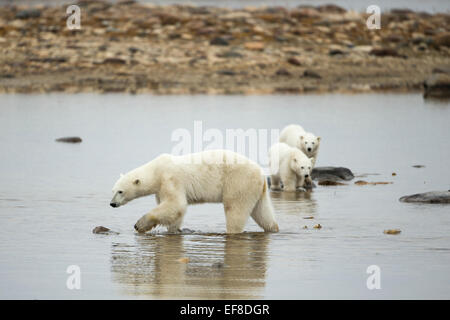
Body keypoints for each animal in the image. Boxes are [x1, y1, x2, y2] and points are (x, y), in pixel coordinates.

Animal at [110, 149, 278, 234]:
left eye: (120, 191)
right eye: (113, 190)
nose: (112, 204)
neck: (156, 171)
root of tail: (261, 174)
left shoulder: (170, 179)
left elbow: (176, 204)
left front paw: (140, 224)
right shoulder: (161, 188)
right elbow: (174, 212)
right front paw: (174, 230)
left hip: (239, 182)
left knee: (235, 210)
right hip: (256, 189)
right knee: (262, 212)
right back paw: (273, 228)